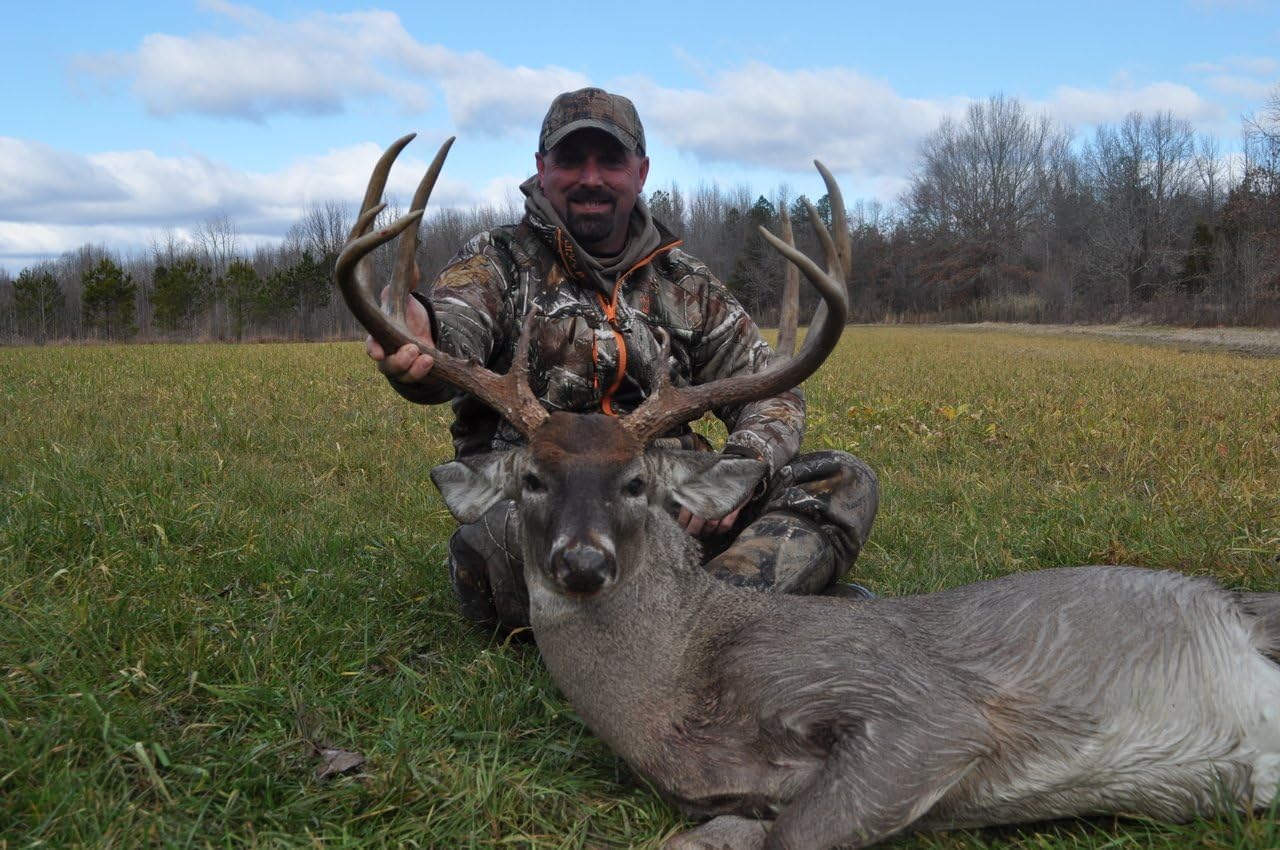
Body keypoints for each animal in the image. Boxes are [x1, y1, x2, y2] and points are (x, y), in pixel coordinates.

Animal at [337, 135, 1280, 850]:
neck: (683, 694)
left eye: (637, 482)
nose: (581, 562)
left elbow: (798, 831)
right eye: (533, 478)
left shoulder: (918, 707)